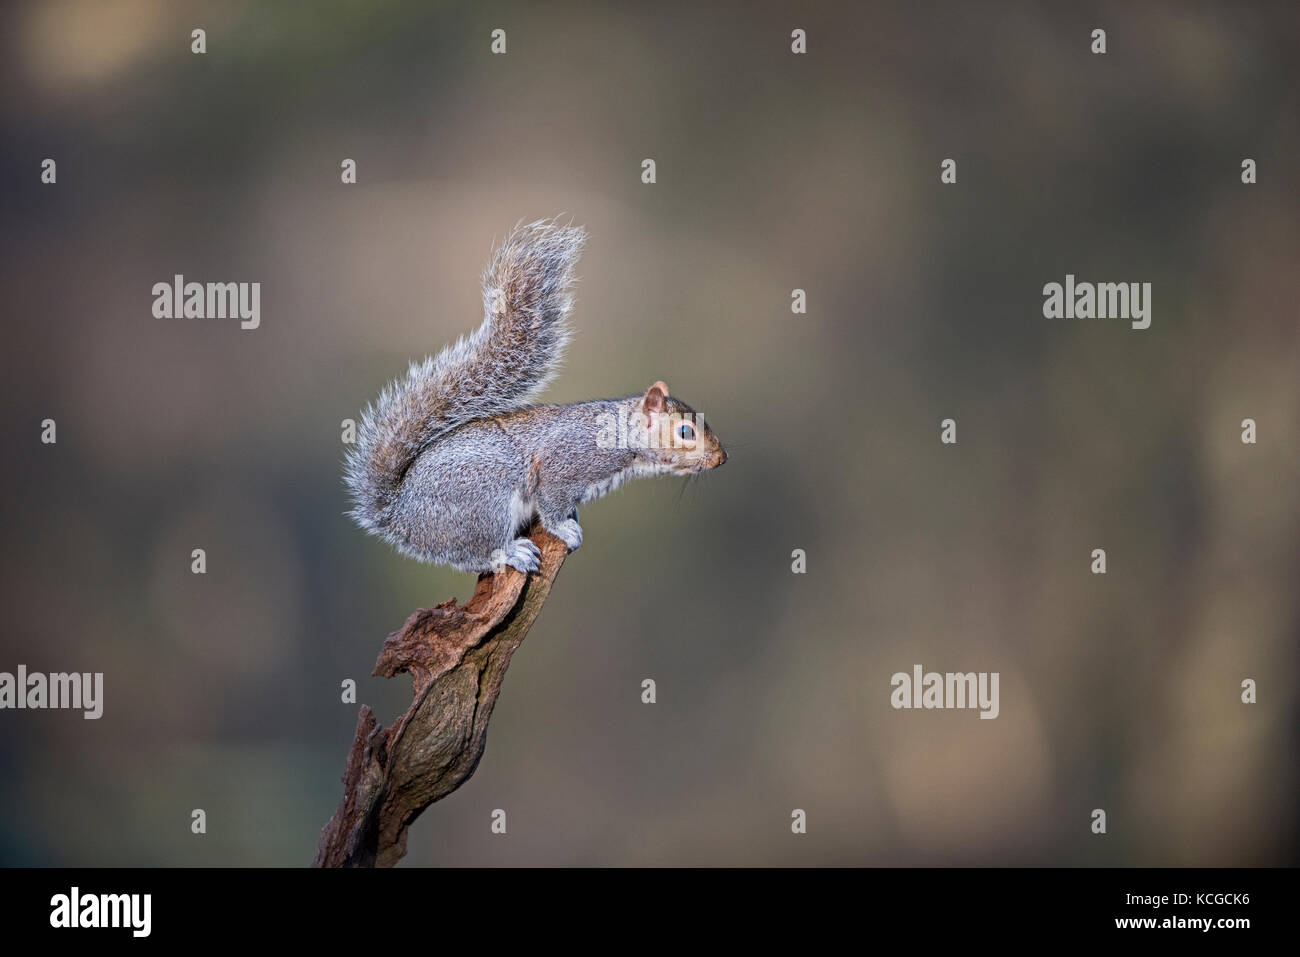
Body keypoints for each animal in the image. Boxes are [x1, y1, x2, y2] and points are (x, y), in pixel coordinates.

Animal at [344, 219, 727, 574]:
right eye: (684, 432)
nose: (721, 458)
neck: (620, 436)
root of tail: (401, 515)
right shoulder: (563, 465)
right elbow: (552, 505)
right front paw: (566, 530)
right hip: (484, 503)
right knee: (477, 554)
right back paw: (513, 552)